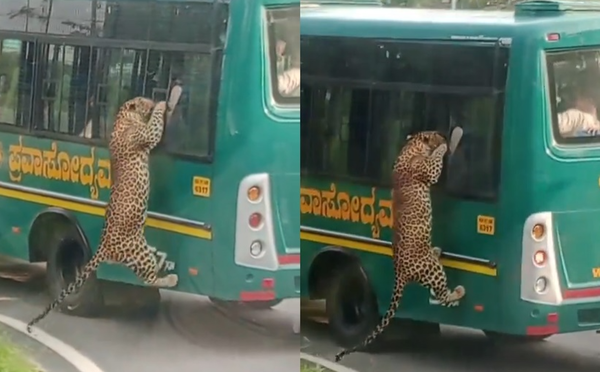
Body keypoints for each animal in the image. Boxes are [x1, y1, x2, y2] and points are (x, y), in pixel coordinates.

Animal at [27, 97, 177, 332]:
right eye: (144, 101)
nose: (151, 101)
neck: (123, 117)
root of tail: (103, 246)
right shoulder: (146, 135)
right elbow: (154, 127)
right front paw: (161, 105)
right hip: (138, 253)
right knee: (149, 279)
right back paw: (171, 279)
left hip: (139, 250)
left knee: (146, 273)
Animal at [336, 130, 466, 360]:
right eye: (436, 134)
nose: (443, 135)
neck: (410, 147)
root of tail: (399, 272)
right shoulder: (428, 171)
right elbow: (435, 161)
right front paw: (443, 147)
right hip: (433, 270)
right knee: (442, 296)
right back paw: (458, 291)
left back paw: (437, 251)